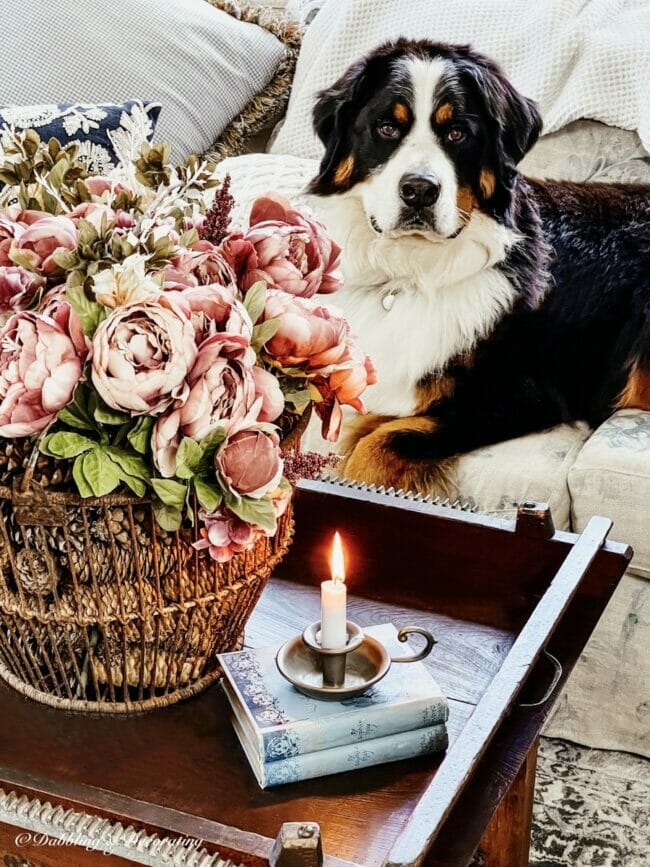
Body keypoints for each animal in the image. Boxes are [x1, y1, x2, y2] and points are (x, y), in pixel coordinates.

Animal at [306, 39, 648, 496]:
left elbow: (377, 447)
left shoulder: (517, 393)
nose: (419, 190)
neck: (414, 271)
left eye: (457, 134)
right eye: (387, 129)